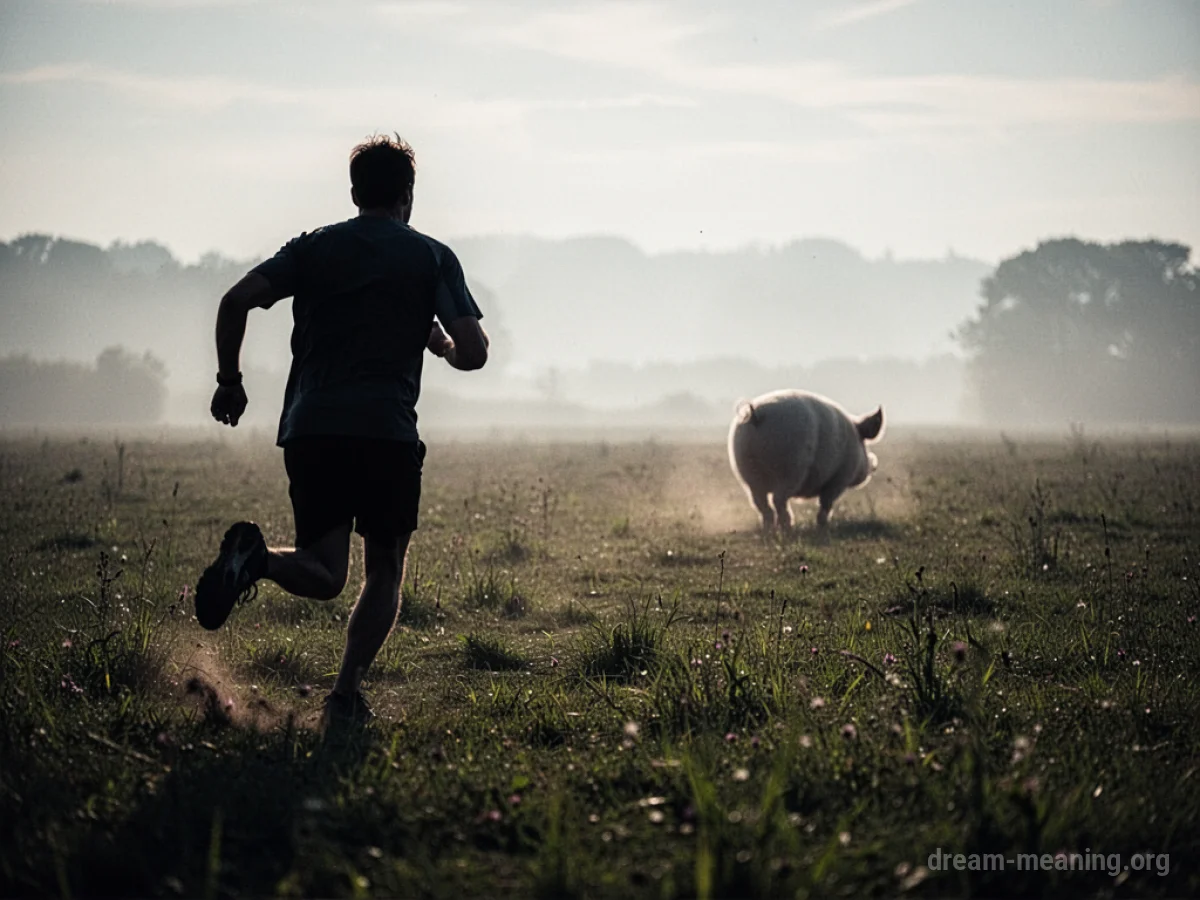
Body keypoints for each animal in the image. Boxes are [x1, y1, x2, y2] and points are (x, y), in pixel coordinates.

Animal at [728, 390, 884, 531]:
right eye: (865, 445)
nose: (874, 465)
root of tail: (757, 416)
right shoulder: (839, 479)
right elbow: (826, 503)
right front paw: (823, 527)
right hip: (790, 469)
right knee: (778, 500)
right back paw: (788, 527)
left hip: (748, 474)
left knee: (761, 504)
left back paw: (769, 529)